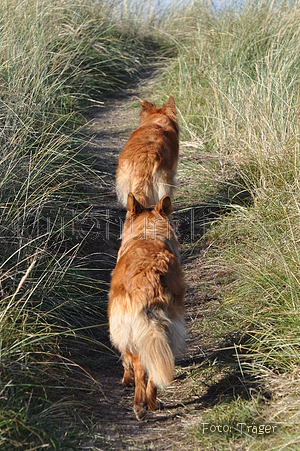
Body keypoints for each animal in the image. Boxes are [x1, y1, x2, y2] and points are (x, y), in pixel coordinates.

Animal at [106, 194, 186, 424]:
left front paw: (126, 379)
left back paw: (141, 405)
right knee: (153, 368)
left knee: (140, 365)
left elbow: (126, 361)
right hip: (165, 329)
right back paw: (151, 403)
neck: (146, 234)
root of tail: (150, 278)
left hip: (128, 329)